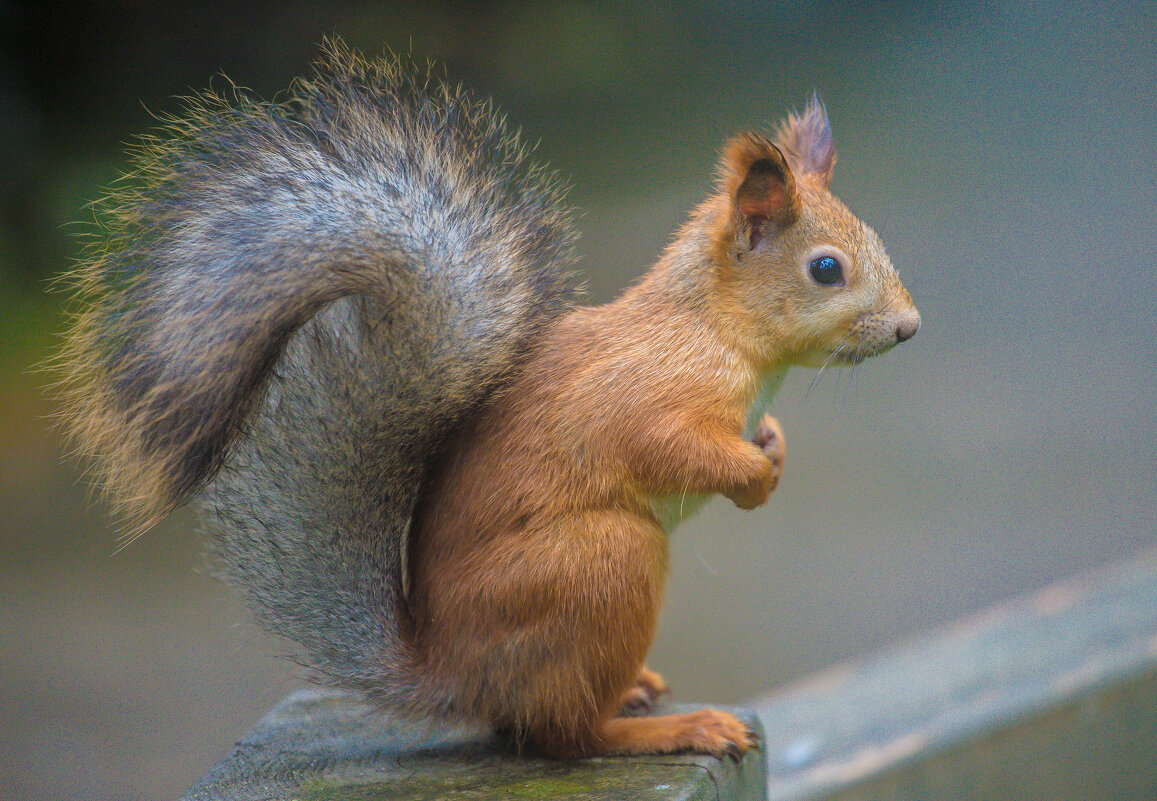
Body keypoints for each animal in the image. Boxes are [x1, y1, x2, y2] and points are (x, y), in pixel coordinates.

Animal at [56, 40, 920, 759]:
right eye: (826, 269)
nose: (910, 327)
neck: (715, 330)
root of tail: (453, 674)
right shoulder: (643, 394)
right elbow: (661, 445)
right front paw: (751, 473)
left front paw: (770, 449)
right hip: (603, 563)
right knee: (562, 735)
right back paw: (666, 727)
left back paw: (638, 691)